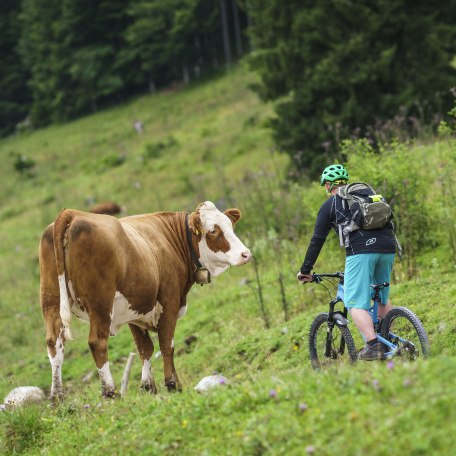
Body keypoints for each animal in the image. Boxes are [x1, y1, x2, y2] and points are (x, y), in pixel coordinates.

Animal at [39, 201, 251, 400]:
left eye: (230, 225)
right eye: (213, 231)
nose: (246, 254)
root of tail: (71, 214)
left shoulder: (135, 310)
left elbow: (145, 348)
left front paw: (149, 387)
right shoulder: (169, 301)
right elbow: (167, 344)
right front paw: (173, 385)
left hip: (51, 301)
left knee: (54, 342)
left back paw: (57, 398)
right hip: (100, 303)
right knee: (97, 342)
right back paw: (110, 392)